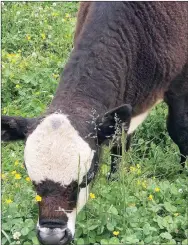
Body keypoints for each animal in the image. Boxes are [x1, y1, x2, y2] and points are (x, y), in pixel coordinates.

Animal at [1, 1, 188, 245]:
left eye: (86, 178)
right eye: (32, 180)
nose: (52, 236)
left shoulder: (179, 86)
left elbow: (179, 129)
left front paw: (183, 172)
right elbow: (120, 143)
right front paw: (115, 181)